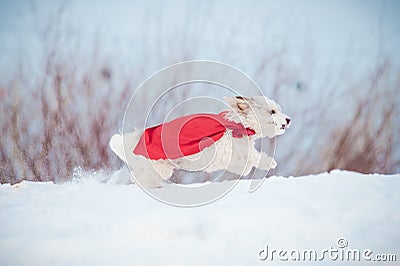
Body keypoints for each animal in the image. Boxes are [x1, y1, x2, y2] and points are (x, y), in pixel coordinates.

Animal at [109, 96, 290, 187]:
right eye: (272, 111)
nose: (288, 120)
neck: (239, 125)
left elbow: (244, 163)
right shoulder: (227, 152)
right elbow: (253, 156)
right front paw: (270, 162)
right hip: (157, 167)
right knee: (141, 178)